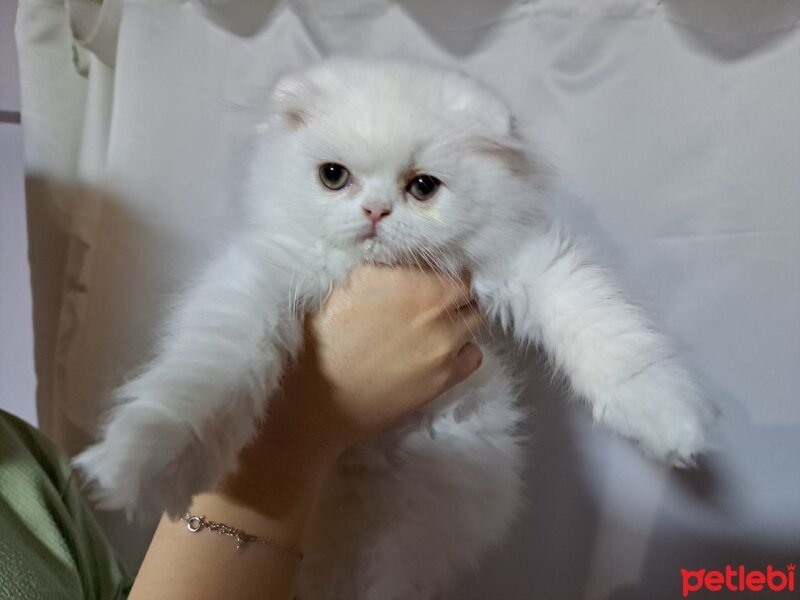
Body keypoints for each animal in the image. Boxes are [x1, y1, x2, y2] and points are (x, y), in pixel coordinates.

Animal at [75, 57, 720, 600]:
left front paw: (667, 420)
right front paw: (142, 463)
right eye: (334, 177)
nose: (376, 212)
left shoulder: (526, 265)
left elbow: (609, 334)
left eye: (423, 187)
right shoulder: (260, 282)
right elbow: (204, 382)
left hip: (394, 541)